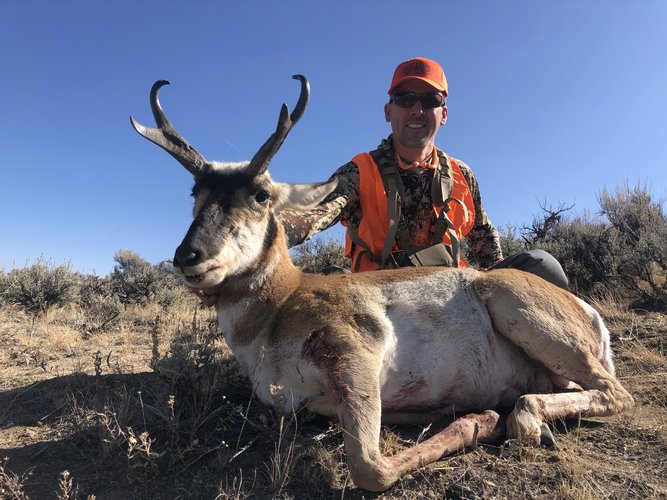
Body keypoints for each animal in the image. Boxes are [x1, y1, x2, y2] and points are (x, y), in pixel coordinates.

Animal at [131, 76, 634, 492]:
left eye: (260, 194)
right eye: (196, 194)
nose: (187, 257)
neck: (281, 305)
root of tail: (588, 312)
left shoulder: (355, 351)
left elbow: (369, 467)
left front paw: (480, 419)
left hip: (515, 307)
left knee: (616, 394)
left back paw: (521, 420)